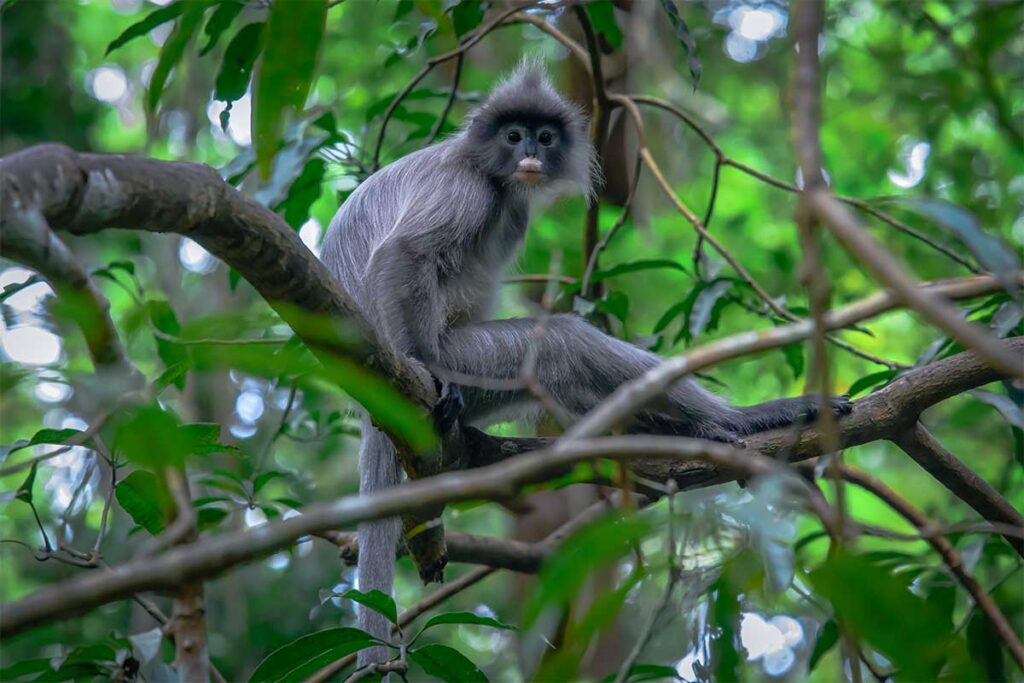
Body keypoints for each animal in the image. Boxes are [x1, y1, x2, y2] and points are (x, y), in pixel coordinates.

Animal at [319, 61, 850, 662]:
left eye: (544, 137)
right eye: (513, 135)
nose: (530, 150)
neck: (496, 179)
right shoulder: (466, 190)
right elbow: (403, 254)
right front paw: (425, 365)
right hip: (469, 363)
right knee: (562, 342)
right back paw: (741, 419)